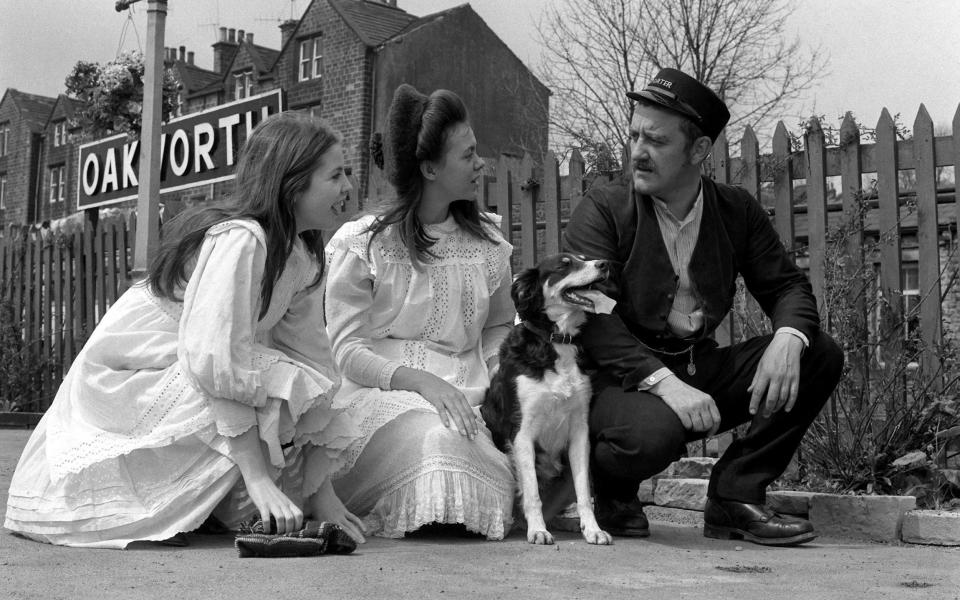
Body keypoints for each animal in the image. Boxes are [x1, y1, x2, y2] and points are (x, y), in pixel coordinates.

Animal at [480, 251, 616, 548]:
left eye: (585, 258)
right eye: (564, 265)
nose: (604, 264)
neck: (557, 341)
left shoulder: (580, 432)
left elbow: (583, 492)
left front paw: (593, 529)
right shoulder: (522, 432)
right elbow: (532, 492)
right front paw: (538, 531)